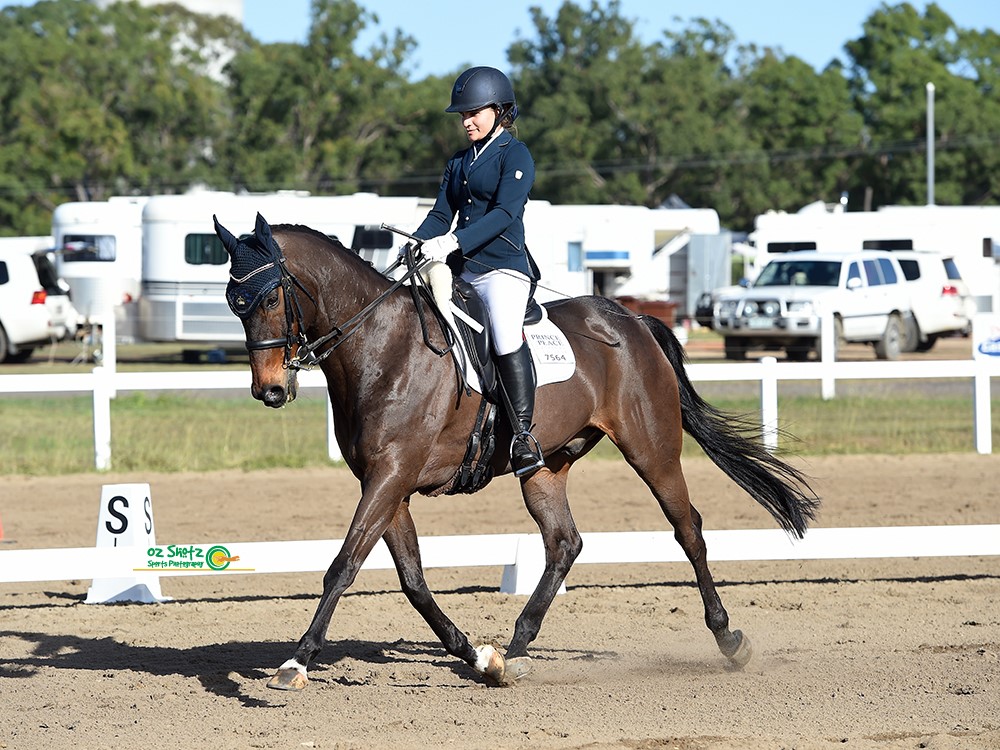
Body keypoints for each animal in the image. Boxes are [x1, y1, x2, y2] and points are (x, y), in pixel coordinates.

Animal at [215, 212, 816, 692]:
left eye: (271, 297)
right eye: (233, 304)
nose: (270, 390)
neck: (382, 345)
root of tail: (631, 319)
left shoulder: (391, 475)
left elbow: (342, 566)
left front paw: (297, 662)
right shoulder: (387, 483)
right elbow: (413, 581)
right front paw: (480, 657)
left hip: (652, 449)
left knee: (687, 528)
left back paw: (728, 639)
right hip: (545, 467)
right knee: (564, 542)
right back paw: (518, 648)